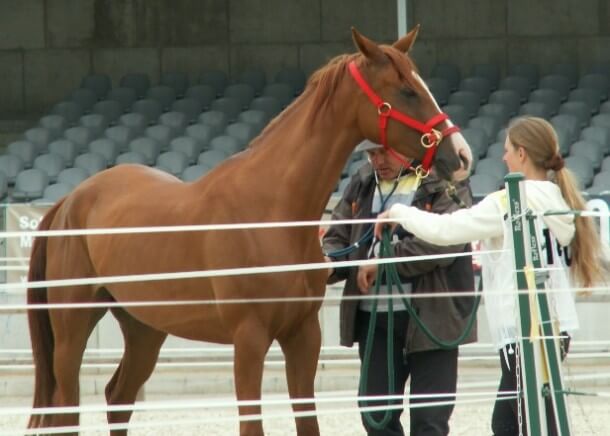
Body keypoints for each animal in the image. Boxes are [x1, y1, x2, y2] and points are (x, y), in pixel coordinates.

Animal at [25, 27, 470, 436]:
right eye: (406, 90)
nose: (461, 155)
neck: (271, 213)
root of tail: (70, 201)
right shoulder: (249, 339)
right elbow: (251, 422)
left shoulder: (303, 336)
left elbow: (307, 419)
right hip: (73, 327)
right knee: (65, 411)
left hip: (144, 329)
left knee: (118, 398)